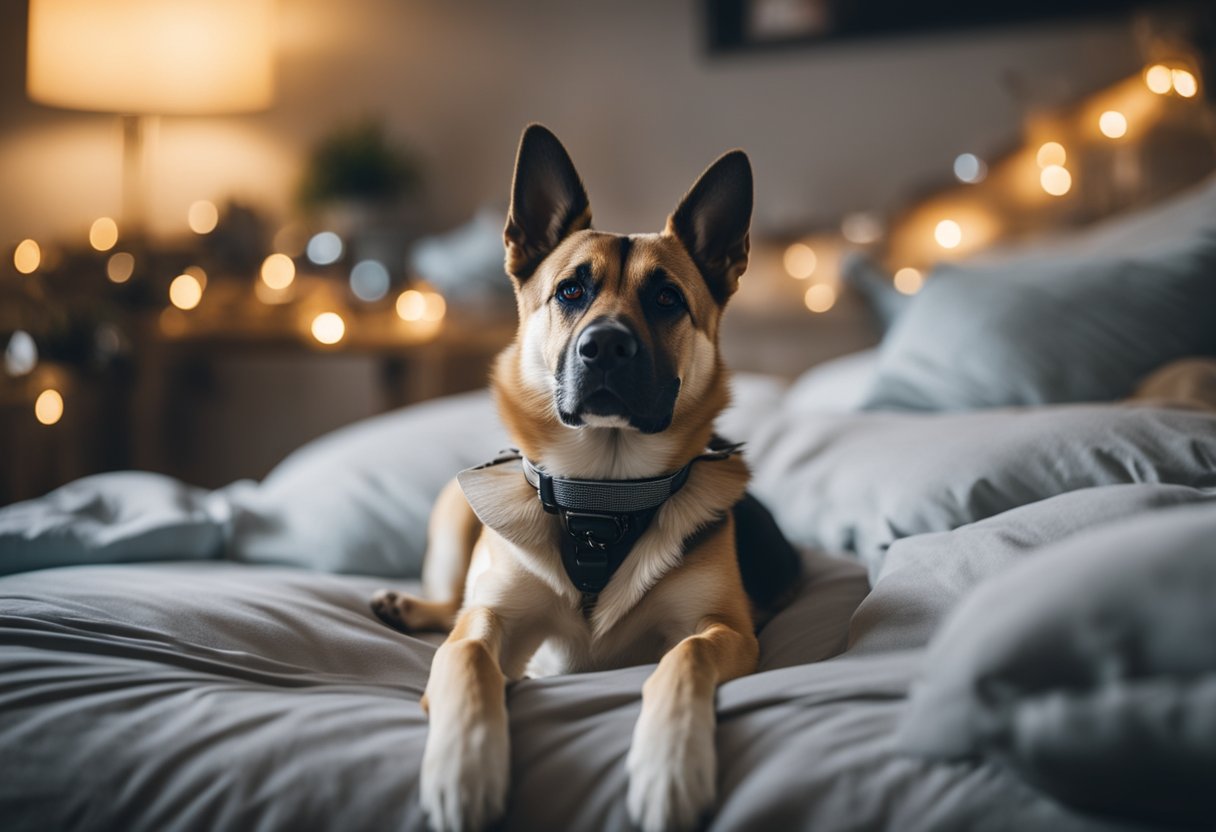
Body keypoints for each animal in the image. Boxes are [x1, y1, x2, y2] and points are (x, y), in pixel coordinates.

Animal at [367, 123, 797, 832]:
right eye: (571, 291)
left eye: (666, 299)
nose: (606, 346)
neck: (602, 491)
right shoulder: (493, 621)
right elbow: (465, 654)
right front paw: (464, 766)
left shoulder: (723, 630)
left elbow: (684, 657)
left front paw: (669, 765)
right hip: (453, 517)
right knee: (451, 602)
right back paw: (406, 606)